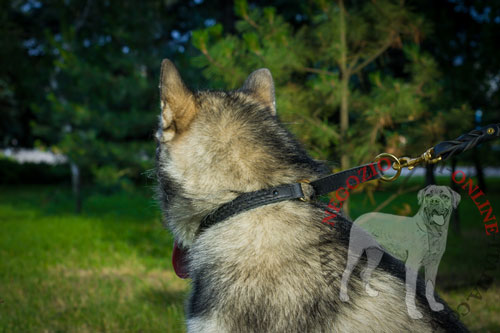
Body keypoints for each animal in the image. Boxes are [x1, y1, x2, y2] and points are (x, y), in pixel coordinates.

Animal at [340, 184, 460, 320]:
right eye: (428, 195)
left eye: (444, 196)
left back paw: (370, 292)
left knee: (364, 273)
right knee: (346, 273)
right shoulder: (412, 265)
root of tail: (359, 217)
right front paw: (413, 312)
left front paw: (433, 306)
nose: (434, 201)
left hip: (376, 254)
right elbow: (411, 291)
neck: (432, 232)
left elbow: (430, 287)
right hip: (355, 252)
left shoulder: (433, 265)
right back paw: (343, 297)